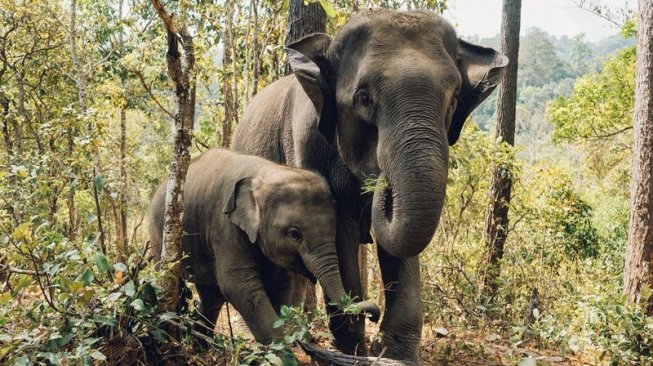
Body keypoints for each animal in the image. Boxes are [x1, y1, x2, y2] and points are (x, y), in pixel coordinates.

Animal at [148, 148, 380, 344]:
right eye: (294, 234)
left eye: (334, 230)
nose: (374, 315)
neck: (266, 172)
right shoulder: (225, 226)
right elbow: (239, 285)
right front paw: (284, 351)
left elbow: (281, 285)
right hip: (159, 234)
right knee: (174, 283)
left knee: (211, 296)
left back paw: (201, 345)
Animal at [232, 9, 506, 364]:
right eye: (363, 98)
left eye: (455, 98)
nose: (380, 180)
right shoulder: (306, 143)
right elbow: (339, 230)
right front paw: (355, 347)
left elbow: (400, 245)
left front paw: (395, 353)